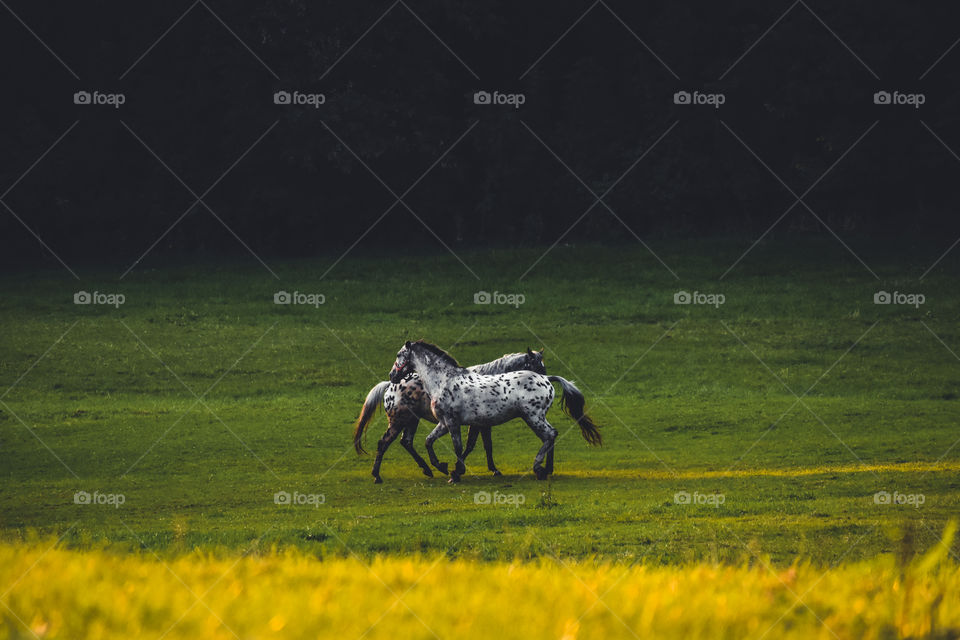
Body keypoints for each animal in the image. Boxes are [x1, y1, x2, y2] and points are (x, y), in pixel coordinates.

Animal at [354, 348, 548, 482]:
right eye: (538, 366)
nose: (547, 382)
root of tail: (390, 385)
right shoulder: (477, 424)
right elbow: (472, 445)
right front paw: (463, 468)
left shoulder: (481, 423)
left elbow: (485, 445)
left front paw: (489, 468)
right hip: (398, 422)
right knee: (384, 443)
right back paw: (377, 475)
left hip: (411, 421)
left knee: (406, 442)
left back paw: (427, 469)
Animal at [388, 340, 600, 480]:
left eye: (398, 355)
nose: (392, 375)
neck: (443, 380)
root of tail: (547, 380)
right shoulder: (445, 423)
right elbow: (429, 441)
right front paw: (442, 467)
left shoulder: (453, 422)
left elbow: (459, 446)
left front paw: (455, 473)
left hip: (533, 417)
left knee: (550, 434)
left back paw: (539, 469)